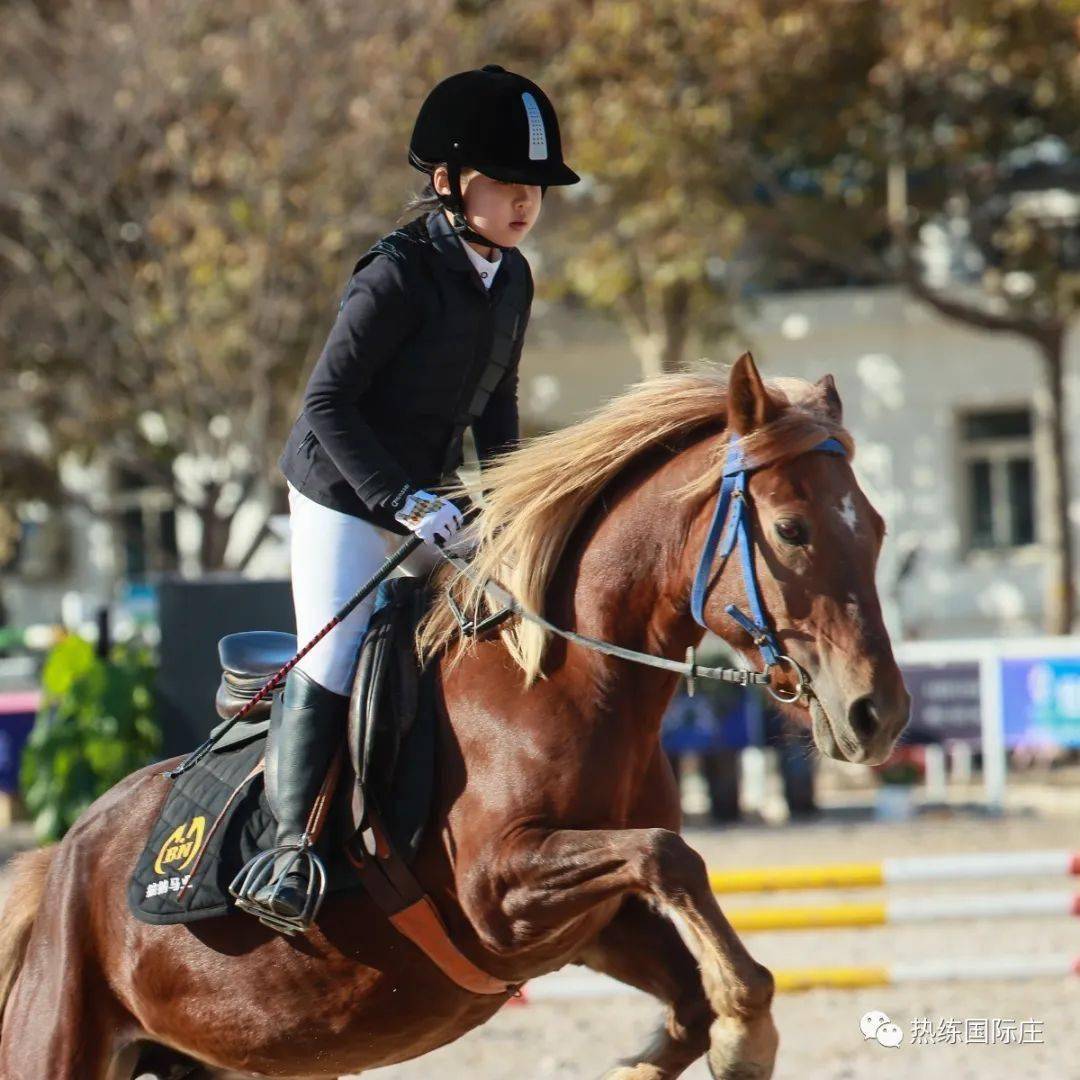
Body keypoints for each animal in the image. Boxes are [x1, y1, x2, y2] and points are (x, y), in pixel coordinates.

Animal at [0, 356, 911, 1080]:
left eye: (876, 528)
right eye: (791, 529)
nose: (878, 714)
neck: (561, 683)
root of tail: (62, 860)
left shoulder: (593, 923)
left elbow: (687, 994)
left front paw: (710, 1038)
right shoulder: (497, 891)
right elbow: (669, 855)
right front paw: (746, 1032)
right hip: (59, 1044)